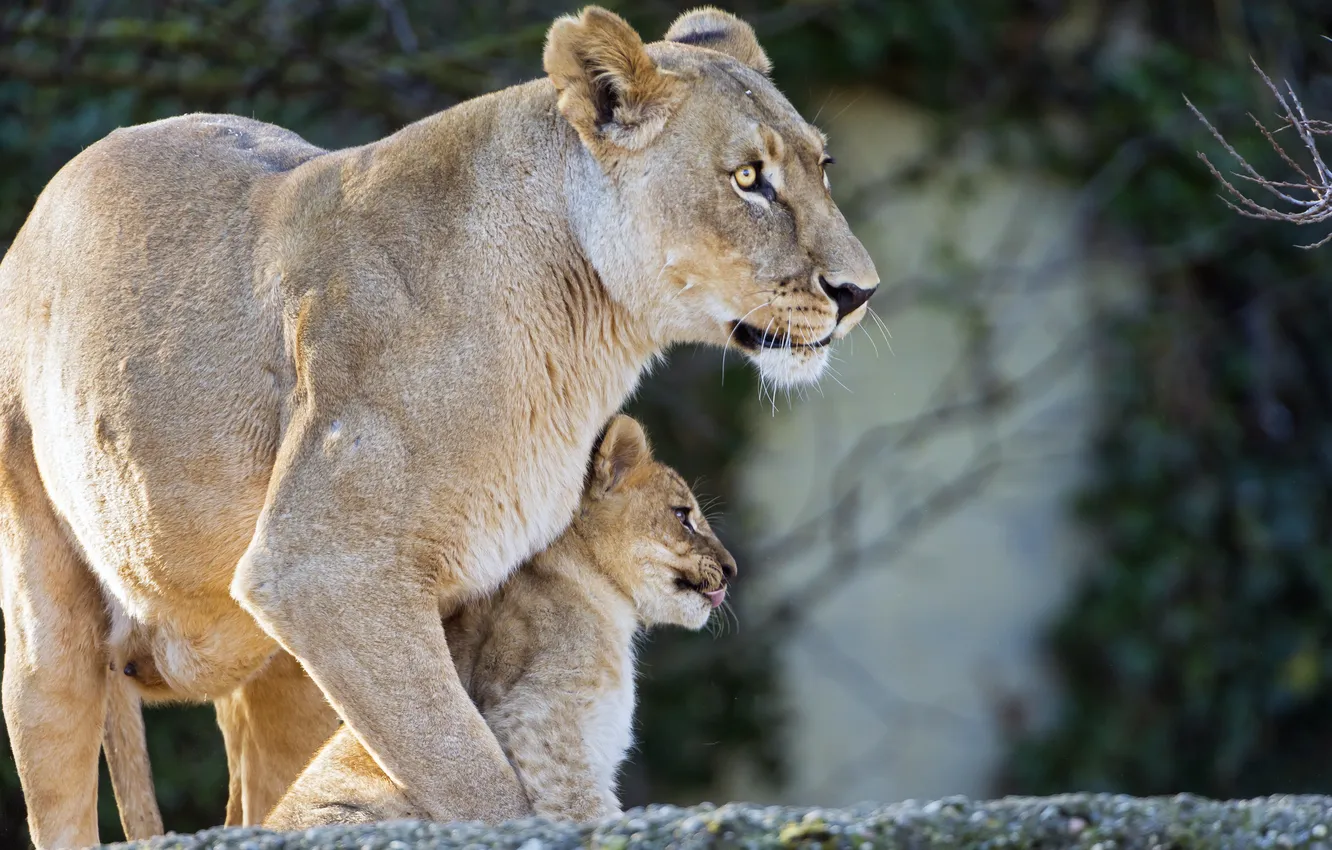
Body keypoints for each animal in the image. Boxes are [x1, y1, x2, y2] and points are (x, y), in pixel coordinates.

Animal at [0, 6, 877, 846]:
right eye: (747, 179)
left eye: (822, 166)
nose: (859, 292)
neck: (586, 334)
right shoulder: (325, 571)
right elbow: (479, 786)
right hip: (55, 625)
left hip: (283, 677)